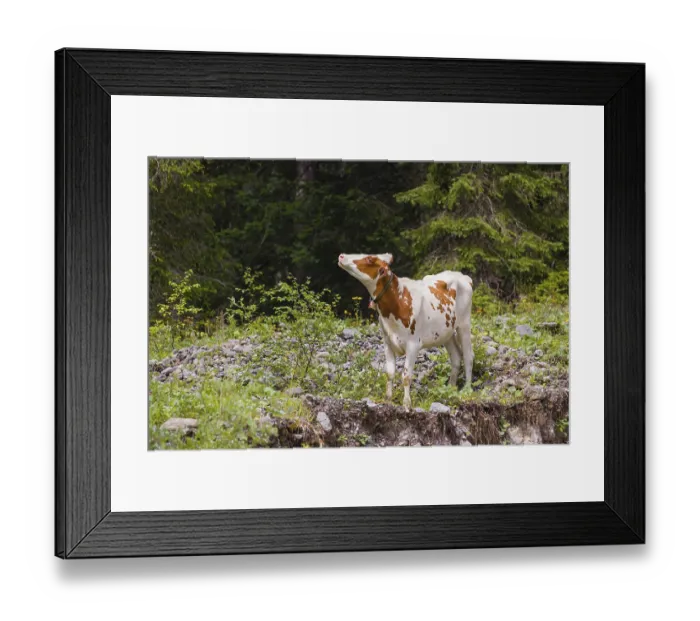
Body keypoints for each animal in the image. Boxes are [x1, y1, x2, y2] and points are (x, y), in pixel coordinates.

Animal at [338, 253, 474, 410]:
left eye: (369, 259)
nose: (341, 256)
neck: (398, 302)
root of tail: (463, 276)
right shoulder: (387, 342)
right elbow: (390, 373)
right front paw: (388, 399)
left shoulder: (413, 345)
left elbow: (406, 375)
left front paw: (407, 403)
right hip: (446, 332)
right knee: (456, 357)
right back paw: (450, 388)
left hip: (464, 324)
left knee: (468, 356)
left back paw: (466, 389)